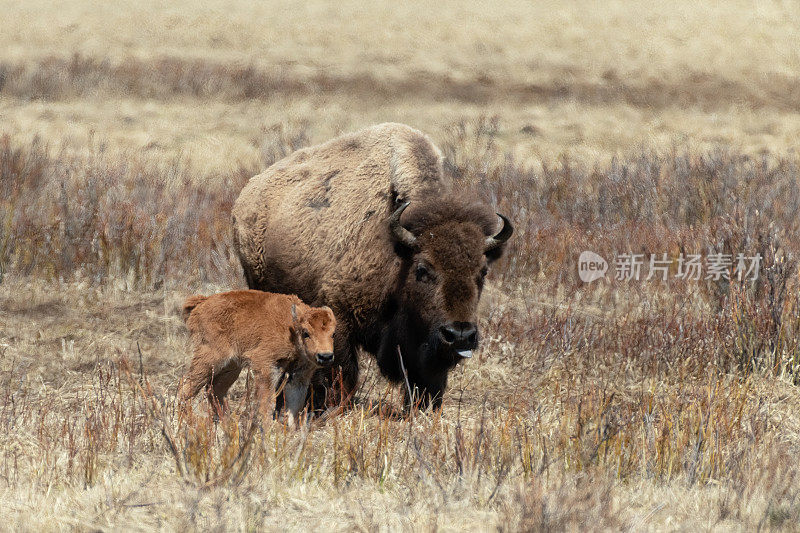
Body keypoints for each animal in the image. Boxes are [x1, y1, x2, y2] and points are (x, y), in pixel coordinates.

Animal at [177, 288, 336, 426]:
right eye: (306, 333)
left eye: (333, 333)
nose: (325, 356)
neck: (291, 327)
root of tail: (202, 303)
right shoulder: (265, 365)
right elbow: (267, 400)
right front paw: (266, 426)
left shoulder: (300, 375)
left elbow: (295, 404)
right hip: (211, 357)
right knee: (186, 384)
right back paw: (185, 420)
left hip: (231, 367)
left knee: (215, 389)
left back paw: (227, 423)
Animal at [231, 123, 516, 408]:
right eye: (422, 270)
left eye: (483, 272)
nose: (460, 334)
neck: (397, 250)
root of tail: (247, 193)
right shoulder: (339, 318)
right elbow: (342, 373)